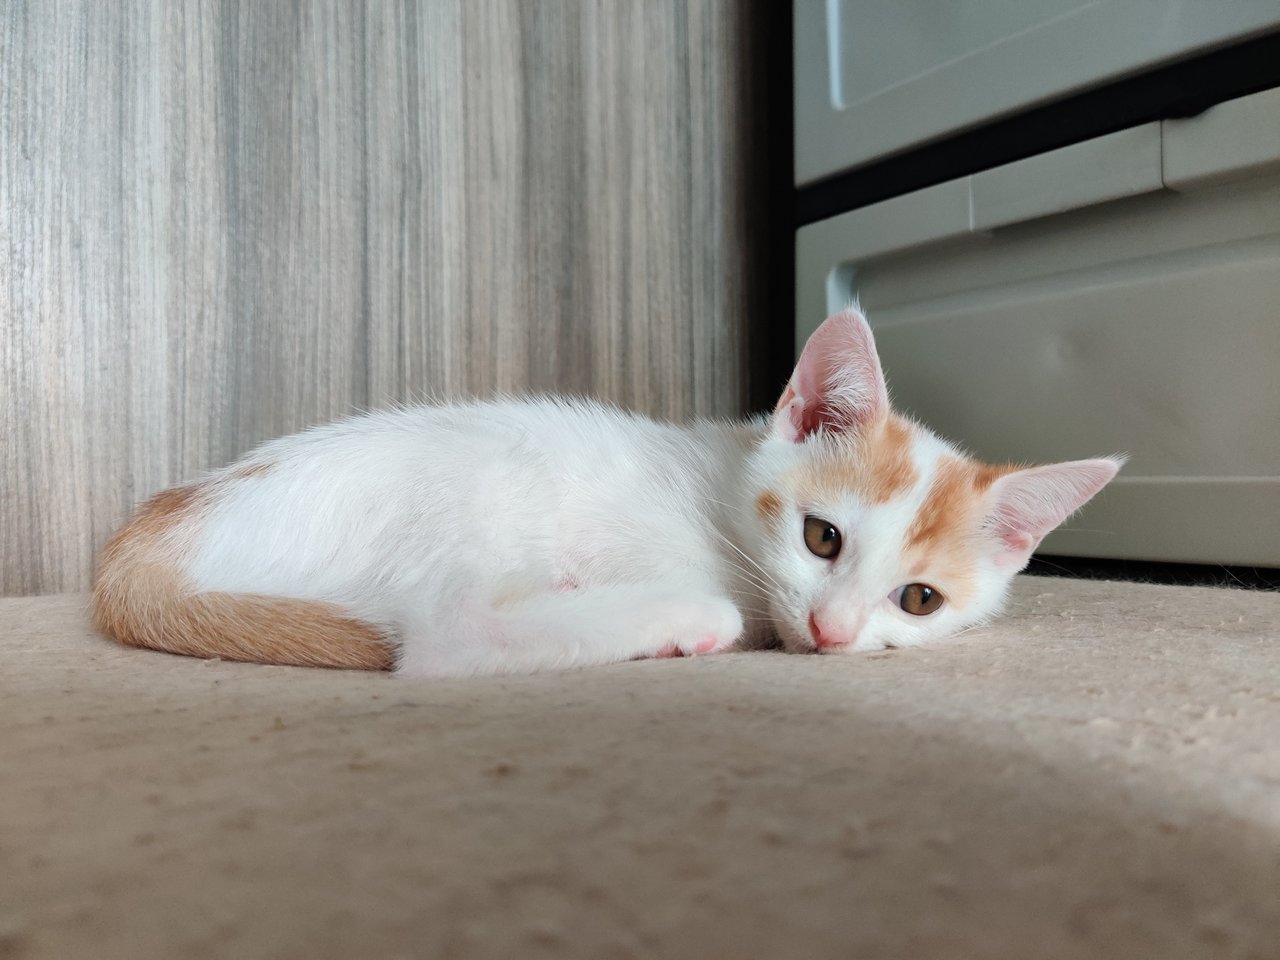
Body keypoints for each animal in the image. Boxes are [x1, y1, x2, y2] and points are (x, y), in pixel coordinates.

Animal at [94, 308, 1121, 675]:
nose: (830, 634)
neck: (722, 501)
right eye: (822, 537)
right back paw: (678, 622)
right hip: (488, 477)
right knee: (444, 643)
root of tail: (171, 518)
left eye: (920, 599)